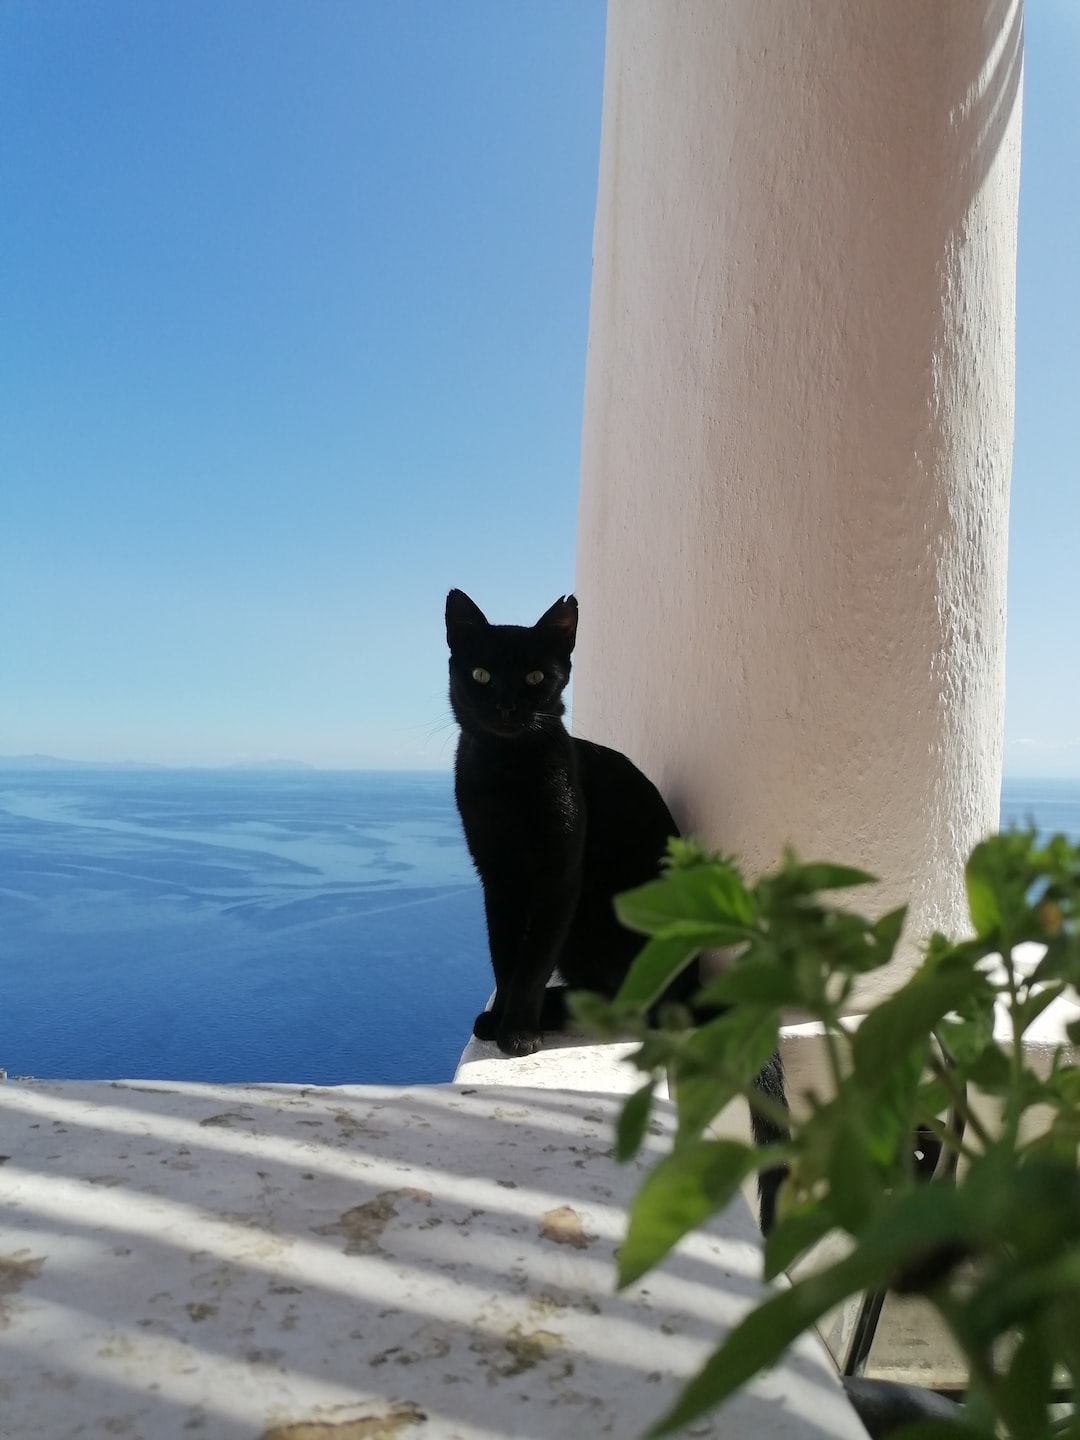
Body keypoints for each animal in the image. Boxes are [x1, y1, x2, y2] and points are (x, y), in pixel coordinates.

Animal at [445, 588, 788, 1231]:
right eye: (480, 674)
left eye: (535, 676)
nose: (506, 707)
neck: (504, 774)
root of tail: (693, 986)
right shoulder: (496, 879)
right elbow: (504, 952)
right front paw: (500, 1017)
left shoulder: (559, 876)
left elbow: (531, 959)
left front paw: (518, 1030)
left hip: (603, 918)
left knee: (630, 1005)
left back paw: (555, 1010)